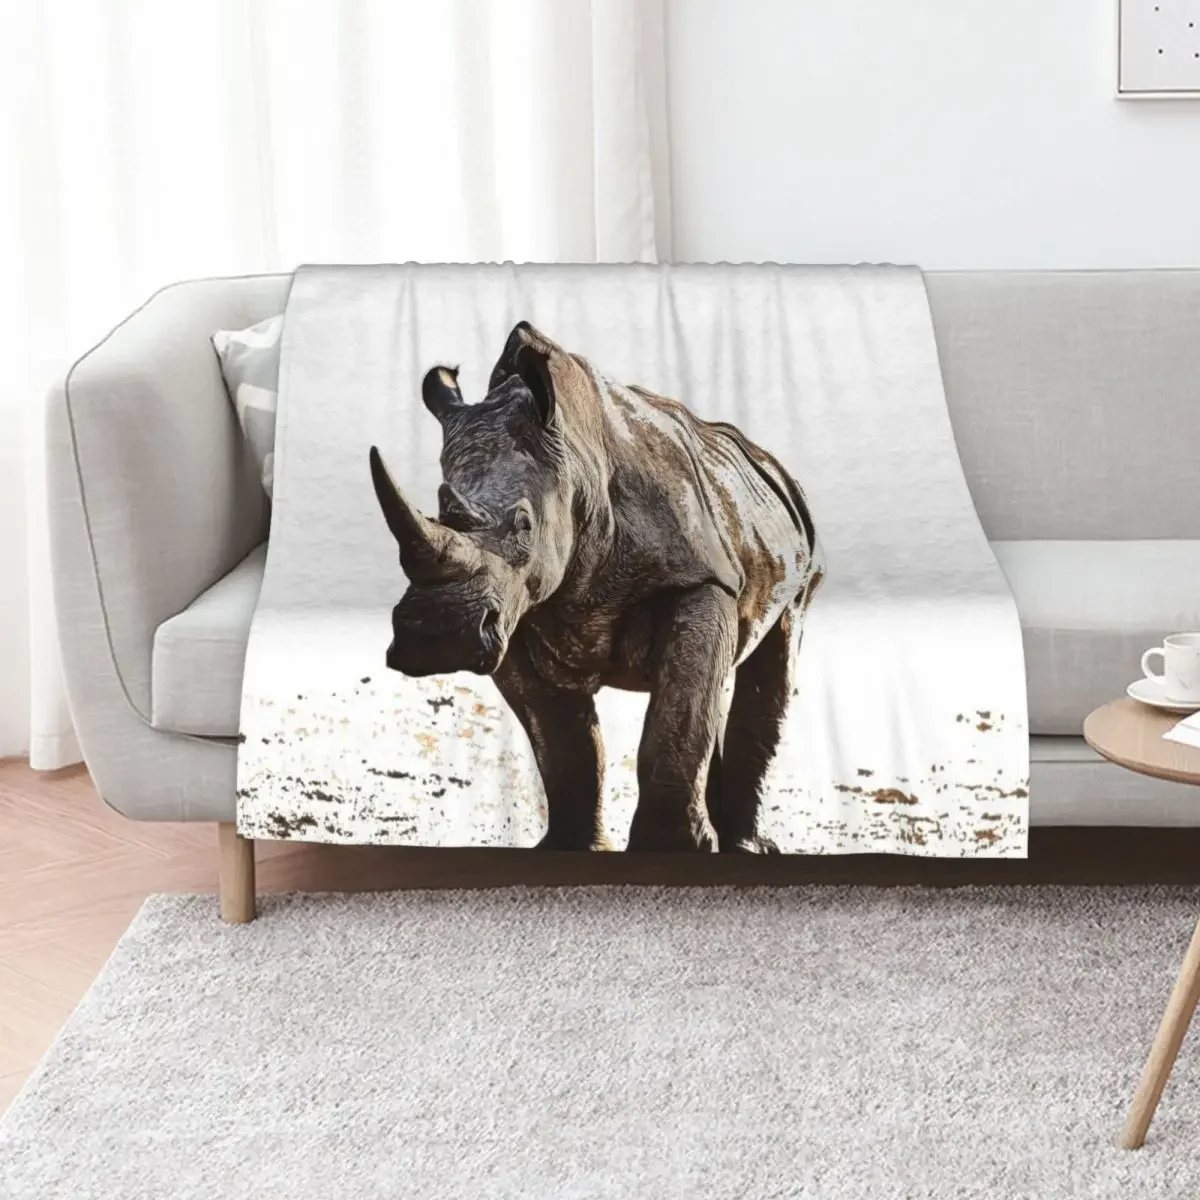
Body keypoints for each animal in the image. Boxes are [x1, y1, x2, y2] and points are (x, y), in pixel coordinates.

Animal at [369, 322, 822, 852]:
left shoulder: (701, 580)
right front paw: (572, 849)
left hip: (801, 550)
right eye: (439, 512)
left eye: (524, 524)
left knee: (775, 650)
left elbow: (675, 718)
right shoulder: (515, 611)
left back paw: (748, 849)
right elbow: (566, 744)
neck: (576, 465)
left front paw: (669, 851)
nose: (435, 636)